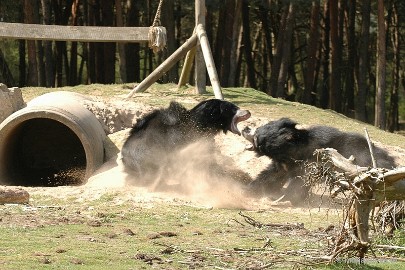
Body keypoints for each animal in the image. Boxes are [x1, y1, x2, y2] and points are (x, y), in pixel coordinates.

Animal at [241, 118, 396, 205]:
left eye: (257, 136)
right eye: (259, 129)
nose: (245, 128)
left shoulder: (314, 161)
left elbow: (300, 182)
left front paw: (285, 199)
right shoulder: (286, 165)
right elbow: (270, 176)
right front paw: (248, 191)